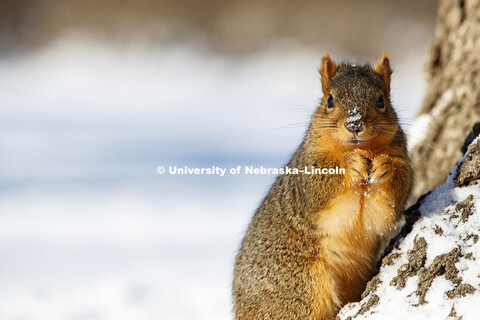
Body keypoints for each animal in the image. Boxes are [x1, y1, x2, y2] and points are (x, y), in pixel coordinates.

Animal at [232, 53, 412, 320]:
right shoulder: (308, 172)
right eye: (329, 100)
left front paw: (385, 167)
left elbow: (388, 206)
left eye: (381, 100)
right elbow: (320, 184)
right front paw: (350, 164)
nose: (355, 124)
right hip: (302, 287)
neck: (362, 148)